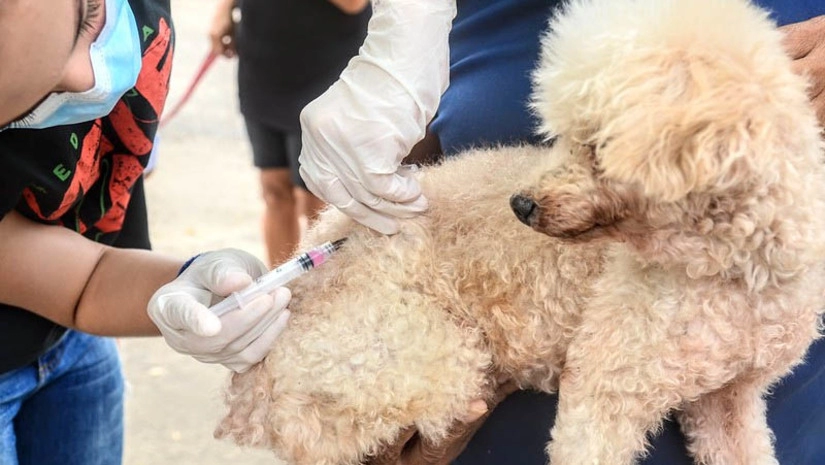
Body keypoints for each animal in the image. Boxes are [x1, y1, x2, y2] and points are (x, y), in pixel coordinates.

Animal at [214, 1, 824, 462]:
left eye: (596, 145)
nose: (521, 204)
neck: (731, 271)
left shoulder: (728, 399)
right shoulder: (606, 391)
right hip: (419, 356)